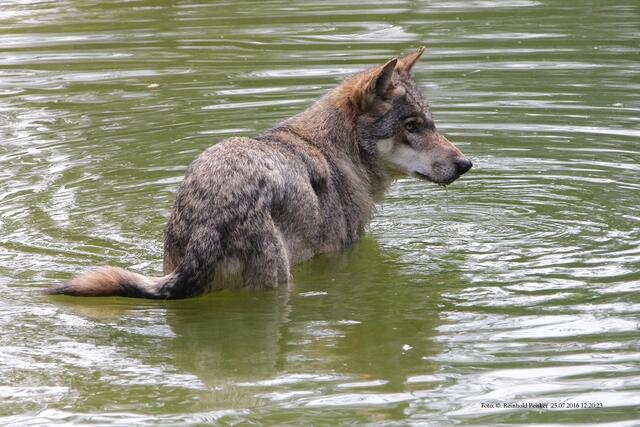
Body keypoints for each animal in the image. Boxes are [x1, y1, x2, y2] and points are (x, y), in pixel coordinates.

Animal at [46, 47, 472, 299]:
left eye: (431, 124)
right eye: (412, 127)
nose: (465, 164)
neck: (336, 154)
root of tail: (209, 217)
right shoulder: (340, 255)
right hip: (279, 282)